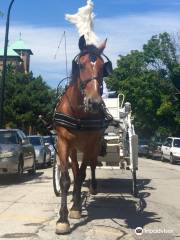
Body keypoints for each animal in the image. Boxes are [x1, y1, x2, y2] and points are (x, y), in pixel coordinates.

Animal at [54, 35, 112, 234]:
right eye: (80, 65)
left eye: (103, 68)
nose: (94, 102)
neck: (79, 113)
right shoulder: (63, 141)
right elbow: (66, 179)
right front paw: (63, 218)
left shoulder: (89, 145)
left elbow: (81, 175)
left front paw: (75, 209)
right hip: (73, 148)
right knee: (74, 167)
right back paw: (75, 199)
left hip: (94, 146)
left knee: (90, 167)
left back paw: (88, 192)